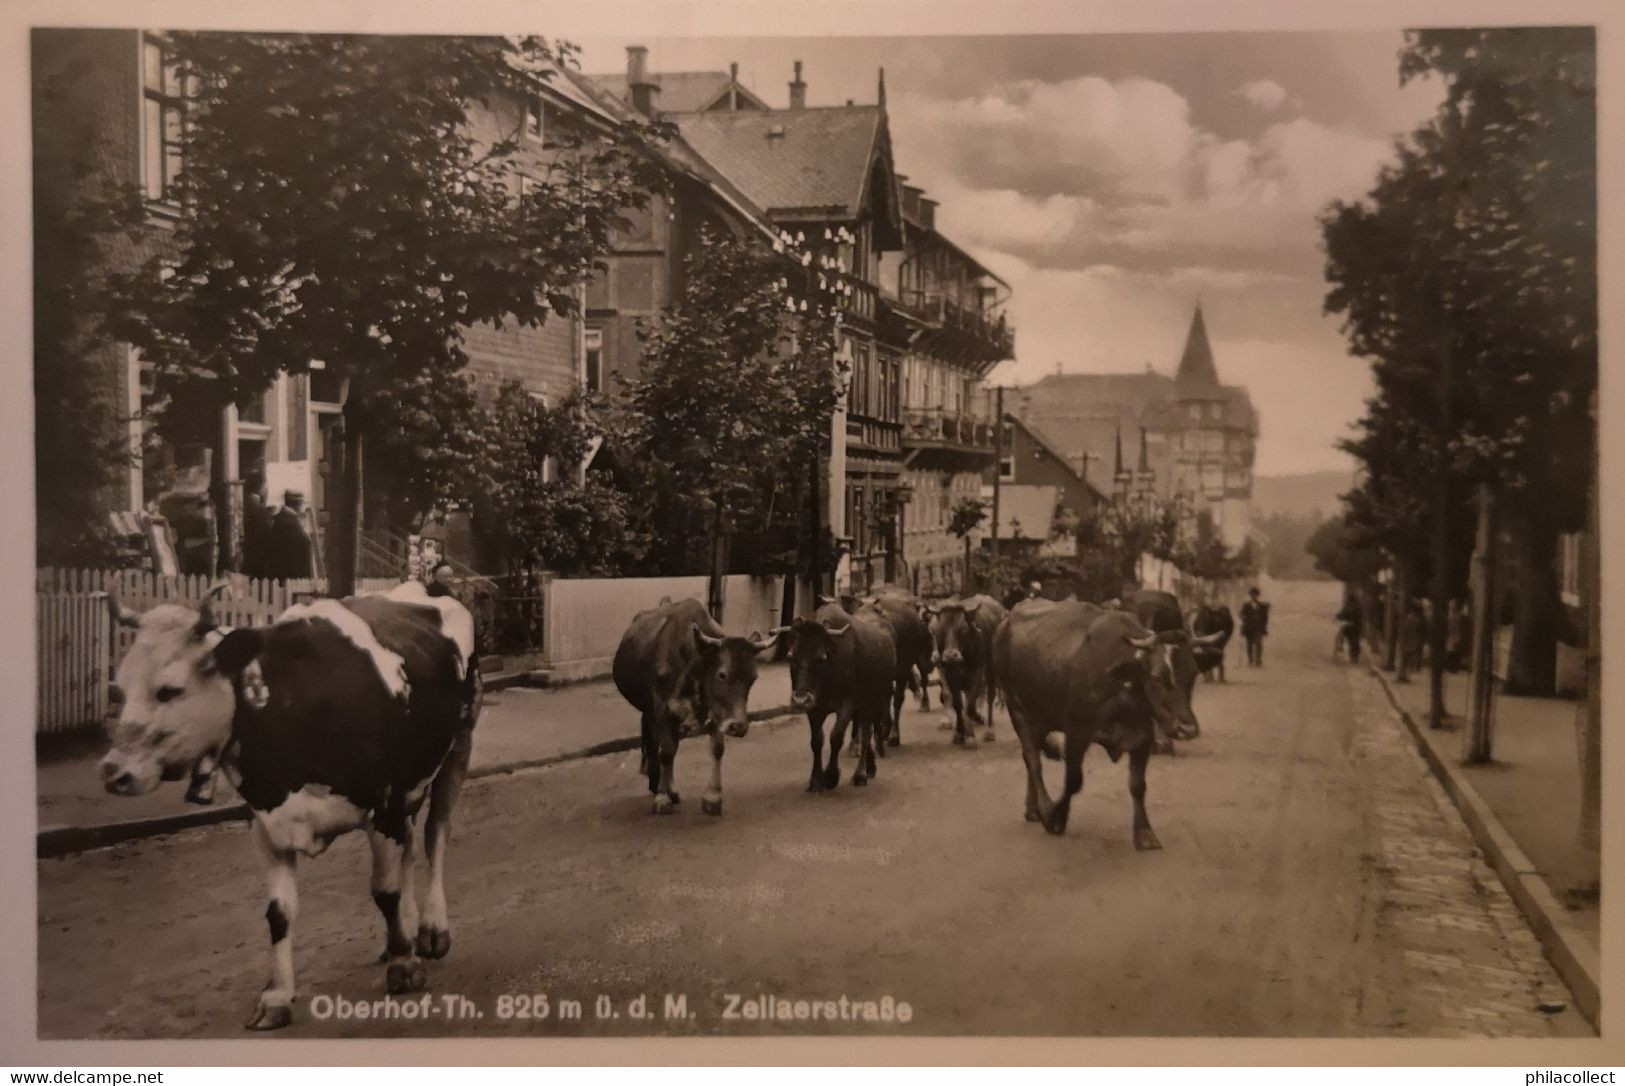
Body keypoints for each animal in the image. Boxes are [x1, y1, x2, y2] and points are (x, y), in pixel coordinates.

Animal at [97, 582, 477, 1033]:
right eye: (119, 690)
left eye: (170, 690)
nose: (113, 773)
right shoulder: (266, 824)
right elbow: (278, 913)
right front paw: (276, 996)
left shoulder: (382, 806)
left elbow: (384, 891)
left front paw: (404, 965)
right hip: (412, 783)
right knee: (411, 847)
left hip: (458, 746)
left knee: (436, 835)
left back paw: (432, 931)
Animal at [614, 598, 780, 819]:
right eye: (722, 675)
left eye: (753, 677)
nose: (738, 727)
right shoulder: (662, 708)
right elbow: (666, 750)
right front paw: (662, 798)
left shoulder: (717, 711)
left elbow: (716, 749)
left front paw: (712, 798)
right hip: (649, 710)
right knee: (655, 742)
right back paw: (656, 782)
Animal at [780, 601, 897, 790]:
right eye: (790, 657)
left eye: (821, 658)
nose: (800, 699)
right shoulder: (814, 708)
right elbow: (816, 741)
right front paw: (816, 780)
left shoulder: (846, 704)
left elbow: (836, 737)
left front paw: (831, 776)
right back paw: (870, 767)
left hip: (873, 702)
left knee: (866, 735)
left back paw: (860, 774)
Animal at [929, 595, 1001, 747]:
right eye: (939, 630)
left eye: (962, 628)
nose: (951, 655)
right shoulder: (949, 673)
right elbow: (957, 703)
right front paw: (959, 733)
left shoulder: (977, 671)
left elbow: (970, 704)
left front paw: (970, 734)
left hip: (991, 668)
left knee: (990, 695)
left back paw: (989, 729)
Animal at [981, 601, 1202, 845]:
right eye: (1157, 677)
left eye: (1193, 674)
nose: (1187, 729)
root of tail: (1005, 620)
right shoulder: (1077, 732)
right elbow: (1073, 780)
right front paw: (1055, 817)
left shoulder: (1143, 738)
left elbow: (1138, 785)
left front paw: (1144, 832)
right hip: (1018, 709)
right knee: (1032, 760)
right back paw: (1043, 806)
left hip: (1042, 716)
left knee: (1033, 755)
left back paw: (1032, 809)